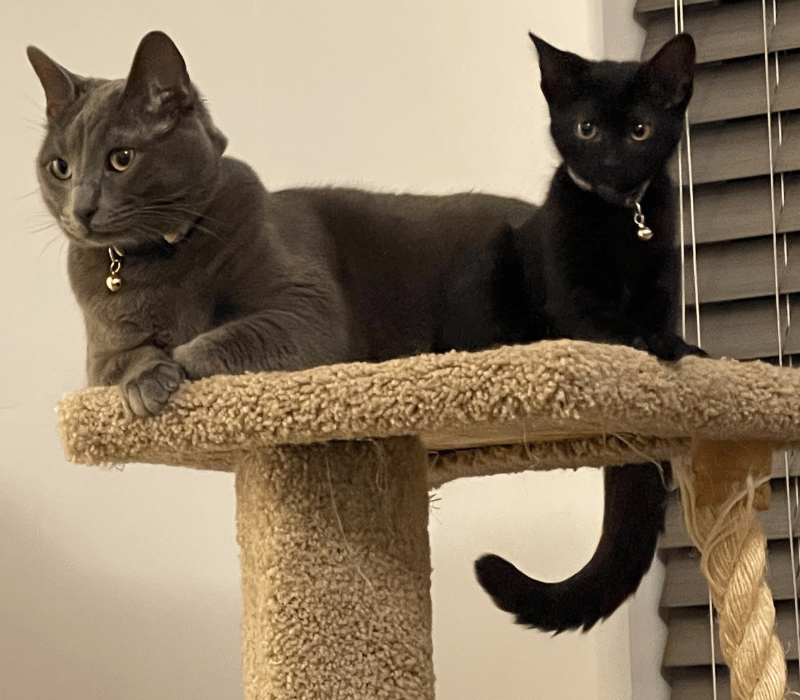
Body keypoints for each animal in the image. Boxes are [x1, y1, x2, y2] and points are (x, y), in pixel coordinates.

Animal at [29, 31, 536, 416]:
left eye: (121, 158)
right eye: (60, 167)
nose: (80, 208)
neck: (160, 260)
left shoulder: (307, 306)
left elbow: (239, 331)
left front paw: (182, 358)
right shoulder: (101, 351)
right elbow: (121, 361)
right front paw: (146, 380)